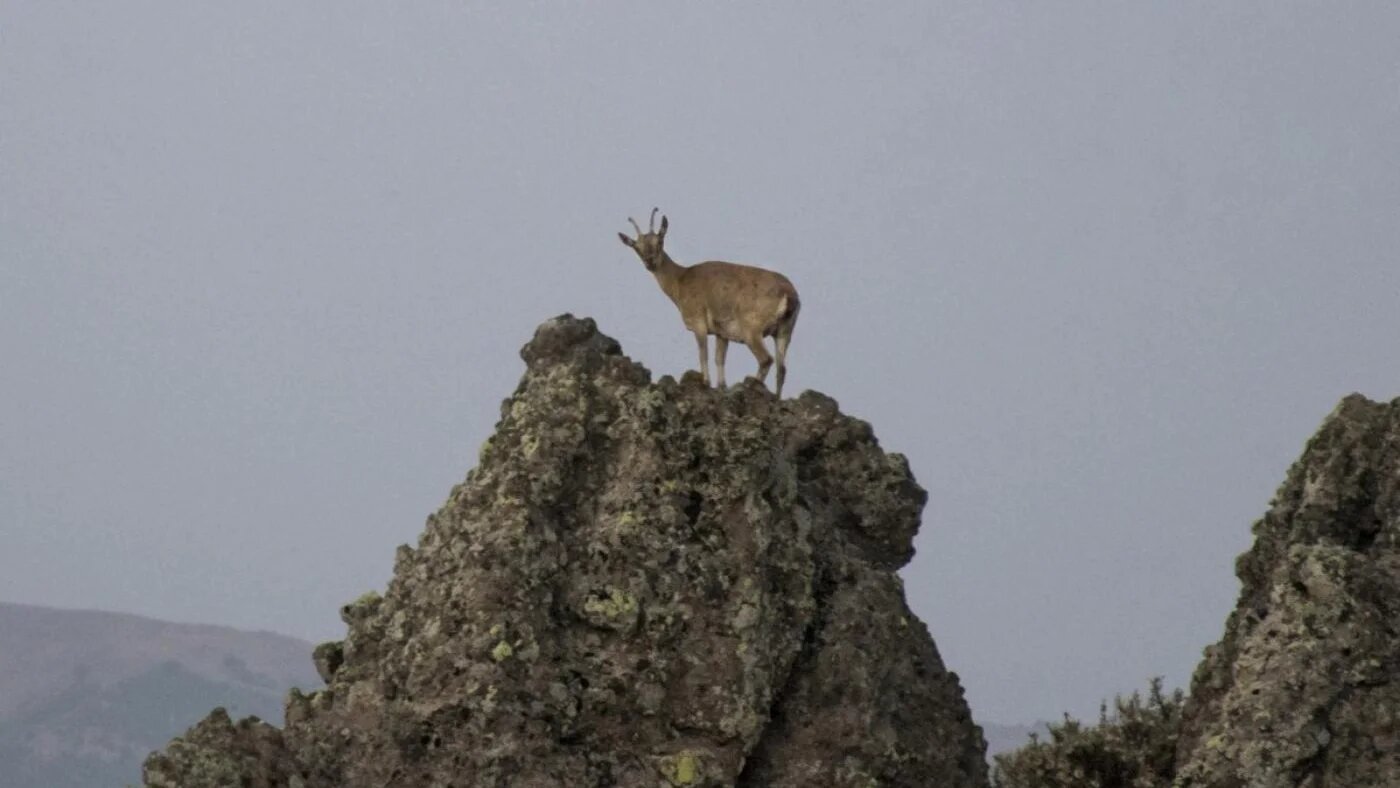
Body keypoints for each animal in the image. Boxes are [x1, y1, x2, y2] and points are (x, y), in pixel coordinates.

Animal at [618, 208, 800, 397]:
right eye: (636, 248)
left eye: (660, 240)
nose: (650, 262)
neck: (680, 281)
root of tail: (788, 294)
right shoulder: (722, 333)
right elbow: (719, 358)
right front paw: (721, 386)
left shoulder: (698, 323)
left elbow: (703, 353)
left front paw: (706, 382)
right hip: (785, 331)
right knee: (781, 369)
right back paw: (776, 397)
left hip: (752, 329)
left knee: (766, 359)